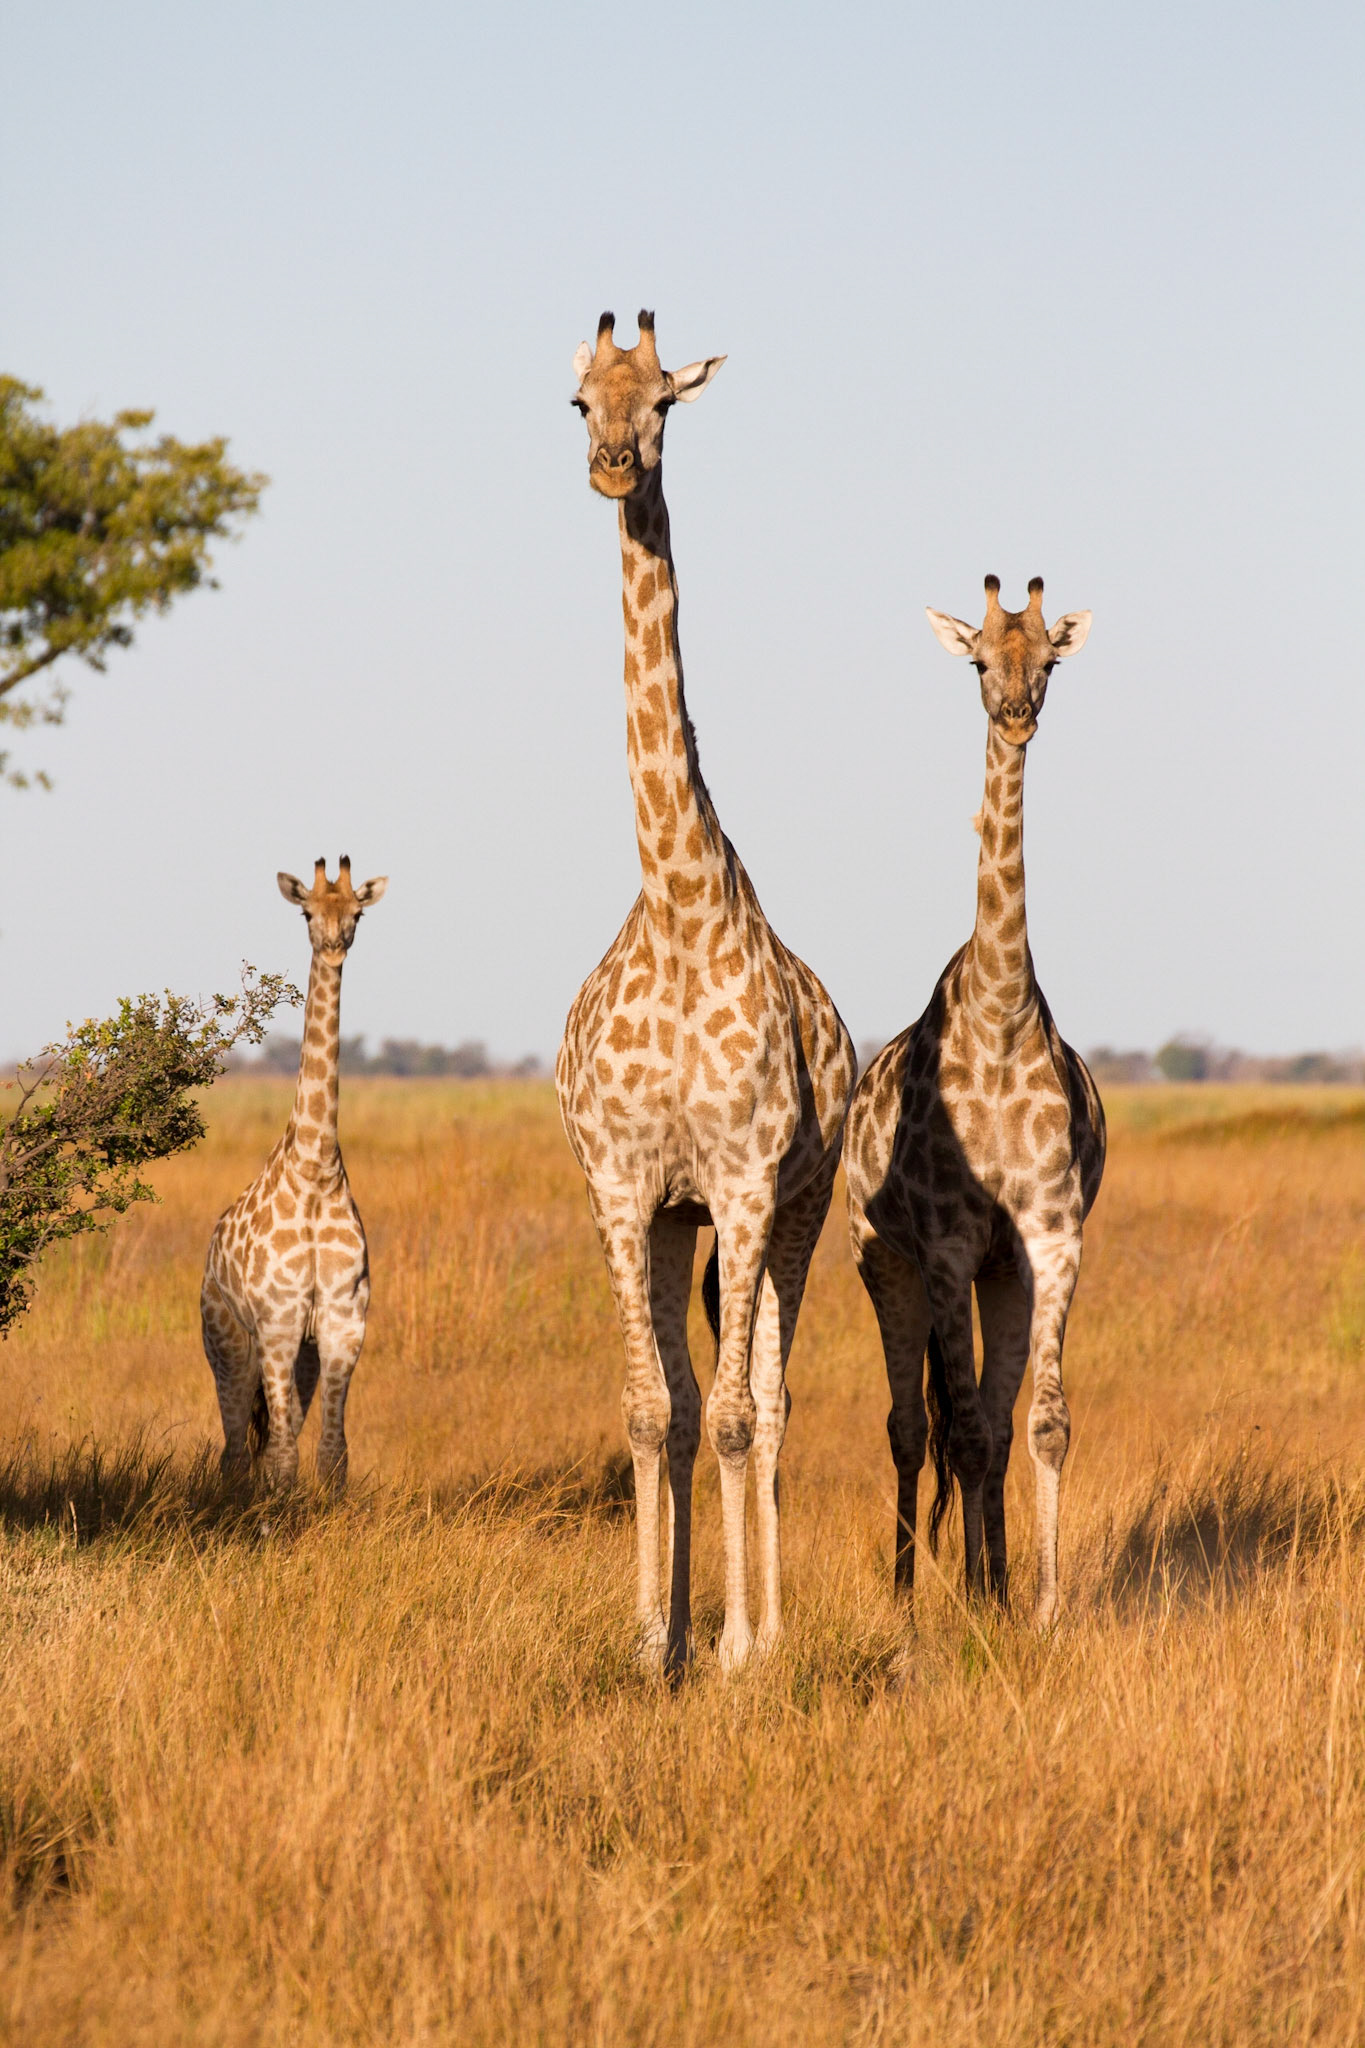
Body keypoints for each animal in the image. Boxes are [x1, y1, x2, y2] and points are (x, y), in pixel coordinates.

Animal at [201, 857, 387, 1490]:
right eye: (307, 912)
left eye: (357, 913)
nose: (334, 944)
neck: (315, 1168)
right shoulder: (278, 1319)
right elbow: (282, 1458)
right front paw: (279, 1511)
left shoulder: (343, 1318)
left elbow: (332, 1454)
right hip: (227, 1340)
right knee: (236, 1447)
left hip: (297, 1353)